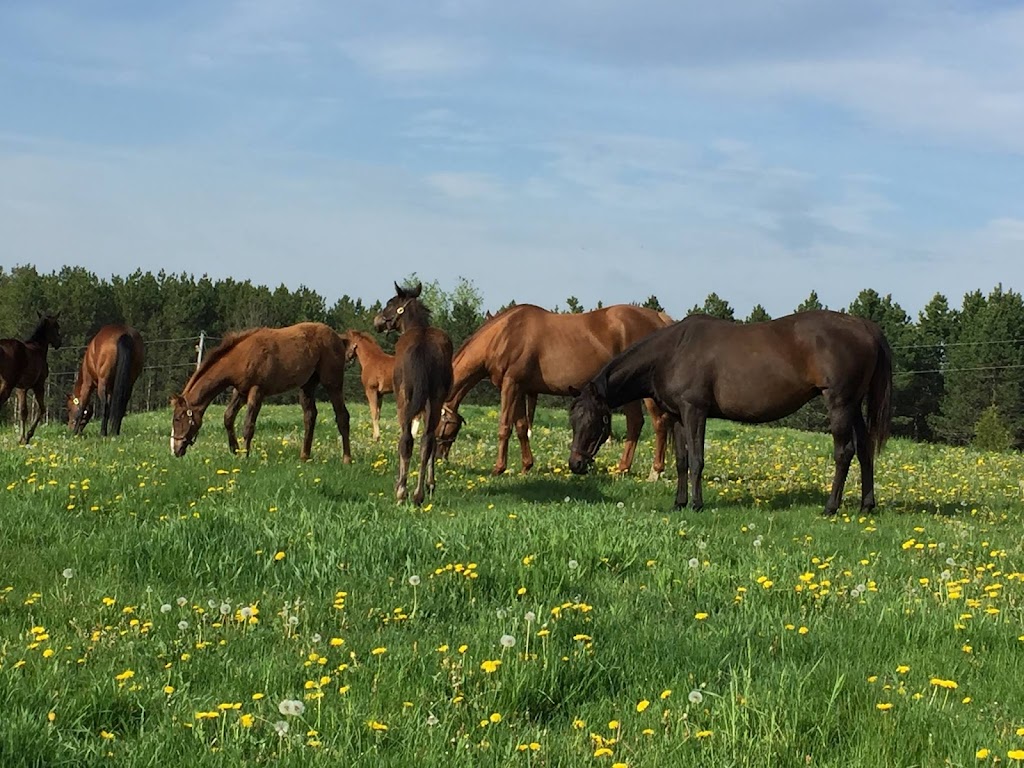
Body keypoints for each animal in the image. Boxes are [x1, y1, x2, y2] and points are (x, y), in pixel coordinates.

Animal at [0, 313, 62, 444]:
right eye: (57, 326)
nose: (59, 342)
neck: (38, 348)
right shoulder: (39, 385)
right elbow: (41, 409)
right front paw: (28, 435)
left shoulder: (21, 388)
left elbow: (23, 412)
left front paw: (21, 438)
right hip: (7, 385)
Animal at [171, 319, 352, 462]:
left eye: (178, 418)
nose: (175, 449)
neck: (240, 357)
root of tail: (339, 338)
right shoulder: (240, 392)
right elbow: (228, 417)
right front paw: (235, 450)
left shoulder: (257, 391)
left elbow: (248, 425)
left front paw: (244, 456)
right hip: (307, 385)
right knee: (310, 416)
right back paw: (304, 457)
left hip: (332, 382)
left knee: (342, 416)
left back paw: (346, 459)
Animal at [376, 282, 452, 505]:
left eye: (389, 303)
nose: (377, 321)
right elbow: (431, 440)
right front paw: (430, 484)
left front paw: (400, 486)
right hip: (435, 397)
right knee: (427, 441)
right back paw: (419, 494)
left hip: (405, 397)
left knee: (406, 440)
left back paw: (402, 492)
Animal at [436, 303, 675, 479]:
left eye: (440, 425)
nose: (439, 458)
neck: (504, 335)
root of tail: (659, 318)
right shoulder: (521, 388)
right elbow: (521, 427)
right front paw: (526, 466)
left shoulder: (510, 385)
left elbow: (504, 427)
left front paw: (498, 468)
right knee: (636, 423)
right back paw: (623, 468)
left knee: (657, 423)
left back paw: (654, 472)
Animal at [565, 309, 892, 518]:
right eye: (573, 420)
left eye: (595, 421)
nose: (575, 464)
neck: (672, 352)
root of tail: (866, 326)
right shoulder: (679, 416)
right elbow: (682, 461)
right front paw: (679, 502)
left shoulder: (695, 411)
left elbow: (697, 460)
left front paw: (696, 504)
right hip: (855, 405)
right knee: (865, 450)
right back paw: (866, 505)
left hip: (840, 403)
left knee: (844, 452)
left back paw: (830, 507)